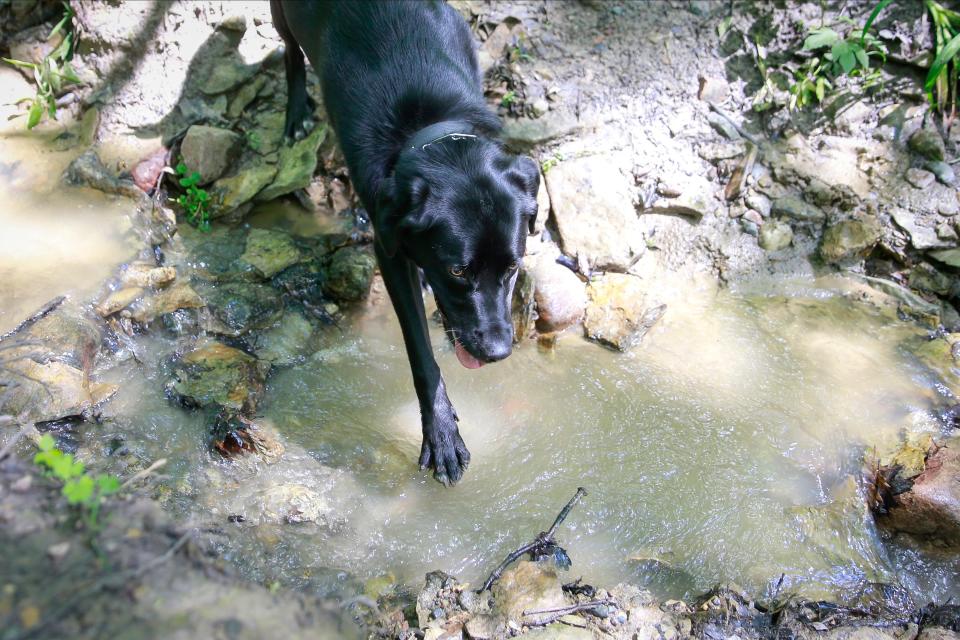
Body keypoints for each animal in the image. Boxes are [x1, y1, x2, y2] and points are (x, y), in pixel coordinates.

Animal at [270, 0, 540, 484]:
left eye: (512, 267)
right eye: (457, 270)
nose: (497, 353)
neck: (431, 126)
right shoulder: (387, 248)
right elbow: (421, 352)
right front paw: (442, 435)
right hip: (282, 15)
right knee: (289, 50)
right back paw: (297, 112)